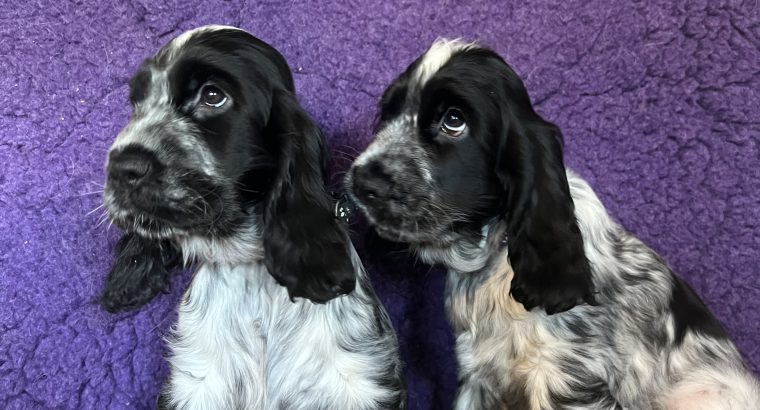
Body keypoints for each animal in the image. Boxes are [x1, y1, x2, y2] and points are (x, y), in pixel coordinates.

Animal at [103, 26, 406, 410]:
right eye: (137, 103)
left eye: (213, 96)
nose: (121, 167)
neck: (252, 270)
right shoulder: (195, 385)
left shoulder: (360, 381)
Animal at [348, 39, 756, 410]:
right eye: (388, 115)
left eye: (454, 121)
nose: (362, 182)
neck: (497, 255)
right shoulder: (478, 377)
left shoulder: (566, 375)